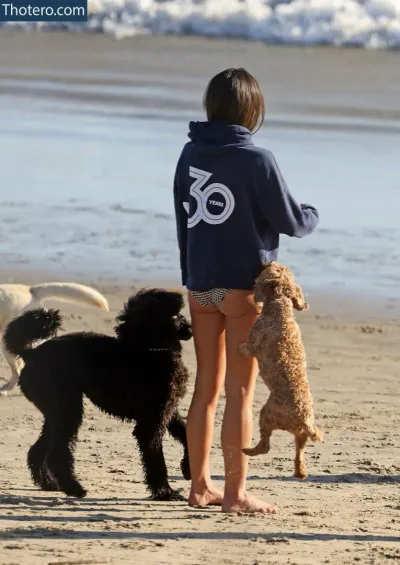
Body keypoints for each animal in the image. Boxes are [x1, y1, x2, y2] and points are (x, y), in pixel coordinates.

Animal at [4, 288, 192, 500]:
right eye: (178, 315)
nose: (190, 327)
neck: (150, 350)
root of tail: (31, 353)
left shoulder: (168, 411)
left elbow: (186, 433)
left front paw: (187, 469)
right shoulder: (152, 422)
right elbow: (156, 459)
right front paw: (164, 491)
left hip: (57, 410)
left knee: (39, 449)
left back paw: (49, 483)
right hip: (67, 407)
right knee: (57, 453)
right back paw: (73, 487)